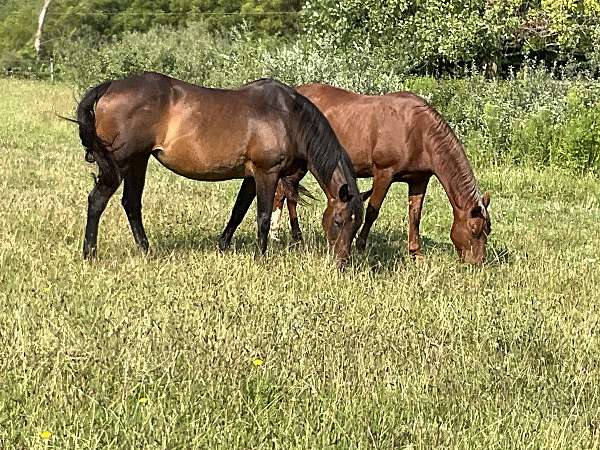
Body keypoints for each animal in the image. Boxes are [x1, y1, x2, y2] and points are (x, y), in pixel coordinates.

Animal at [70, 72, 360, 268]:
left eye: (356, 226)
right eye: (338, 221)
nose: (342, 263)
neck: (288, 117)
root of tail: (110, 86)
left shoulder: (251, 176)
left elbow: (238, 211)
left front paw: (222, 247)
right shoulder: (267, 173)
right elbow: (263, 216)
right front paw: (261, 257)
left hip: (138, 161)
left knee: (131, 204)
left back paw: (146, 250)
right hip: (120, 163)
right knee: (97, 201)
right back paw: (90, 254)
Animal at [274, 84, 492, 264]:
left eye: (488, 230)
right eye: (474, 230)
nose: (477, 263)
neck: (420, 133)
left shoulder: (419, 180)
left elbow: (415, 215)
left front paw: (416, 253)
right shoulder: (383, 173)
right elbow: (373, 211)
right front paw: (361, 246)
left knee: (289, 194)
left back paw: (295, 237)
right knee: (283, 193)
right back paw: (281, 235)